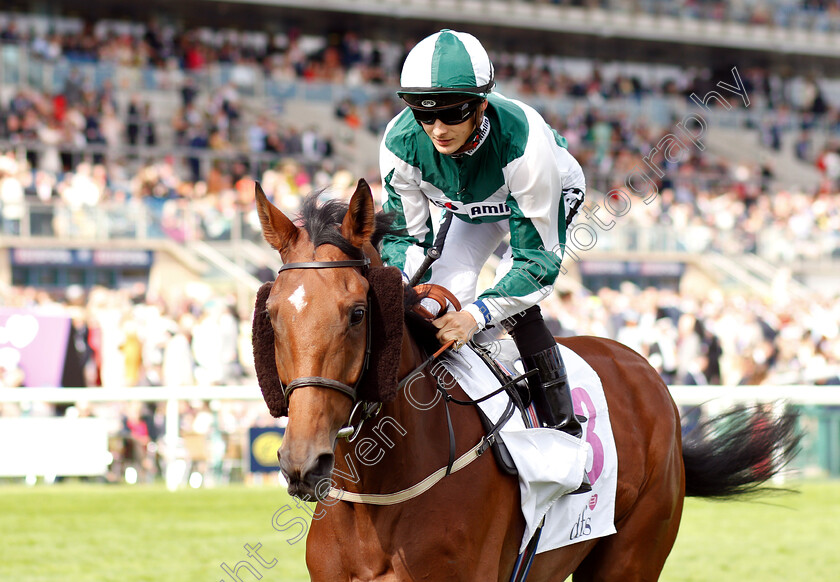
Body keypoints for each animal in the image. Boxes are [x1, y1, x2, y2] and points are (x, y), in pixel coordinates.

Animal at [251, 180, 800, 580]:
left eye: (358, 313)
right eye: (272, 315)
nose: (303, 462)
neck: (380, 494)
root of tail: (643, 370)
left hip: (632, 555)